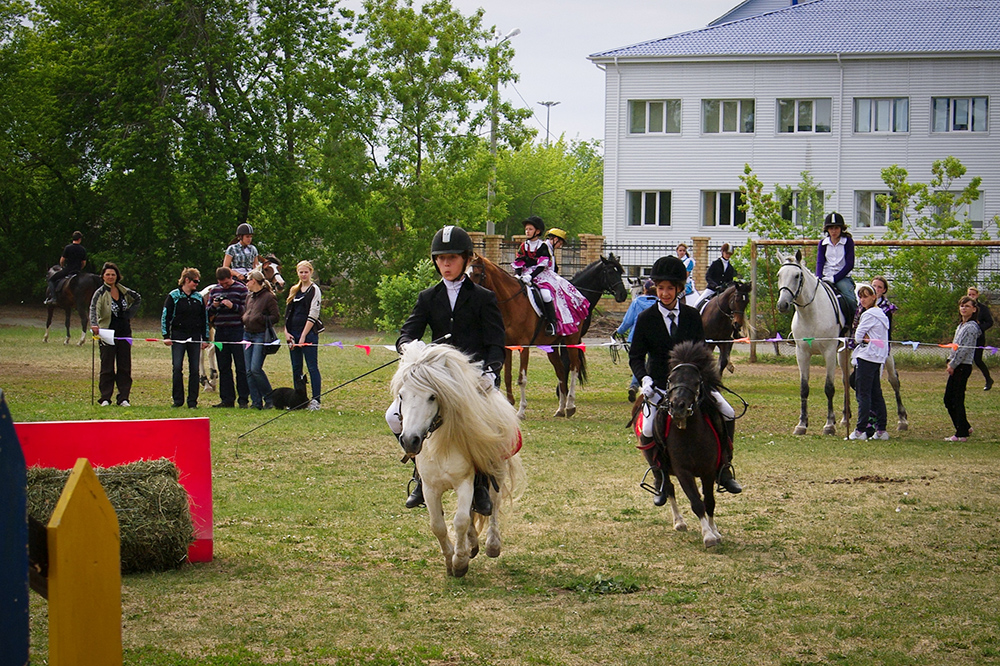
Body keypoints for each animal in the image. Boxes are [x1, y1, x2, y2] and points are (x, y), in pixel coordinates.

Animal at [390, 342, 528, 576]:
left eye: (432, 396)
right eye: (402, 395)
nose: (410, 440)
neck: (441, 445)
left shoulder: (464, 482)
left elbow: (461, 520)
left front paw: (460, 561)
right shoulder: (430, 488)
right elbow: (438, 525)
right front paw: (450, 559)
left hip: (496, 469)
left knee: (493, 503)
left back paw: (492, 544)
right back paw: (472, 543)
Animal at [468, 253, 624, 416]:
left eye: (477, 274)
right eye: (467, 272)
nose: (623, 295)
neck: (512, 303)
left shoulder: (524, 346)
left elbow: (521, 379)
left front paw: (521, 410)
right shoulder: (507, 345)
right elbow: (507, 376)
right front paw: (510, 404)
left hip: (571, 339)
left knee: (574, 367)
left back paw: (570, 405)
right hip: (552, 345)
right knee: (560, 370)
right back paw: (561, 408)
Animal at [636, 340, 732, 548]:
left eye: (696, 382)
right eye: (670, 380)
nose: (678, 406)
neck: (691, 435)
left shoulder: (708, 471)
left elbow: (709, 502)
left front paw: (714, 531)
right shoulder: (683, 472)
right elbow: (696, 502)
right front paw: (708, 535)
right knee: (668, 487)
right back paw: (678, 521)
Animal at [776, 250, 848, 436]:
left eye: (797, 276)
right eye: (779, 275)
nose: (782, 305)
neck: (811, 314)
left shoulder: (829, 353)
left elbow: (829, 388)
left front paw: (829, 425)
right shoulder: (802, 353)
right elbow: (804, 388)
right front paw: (801, 424)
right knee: (846, 381)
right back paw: (845, 418)